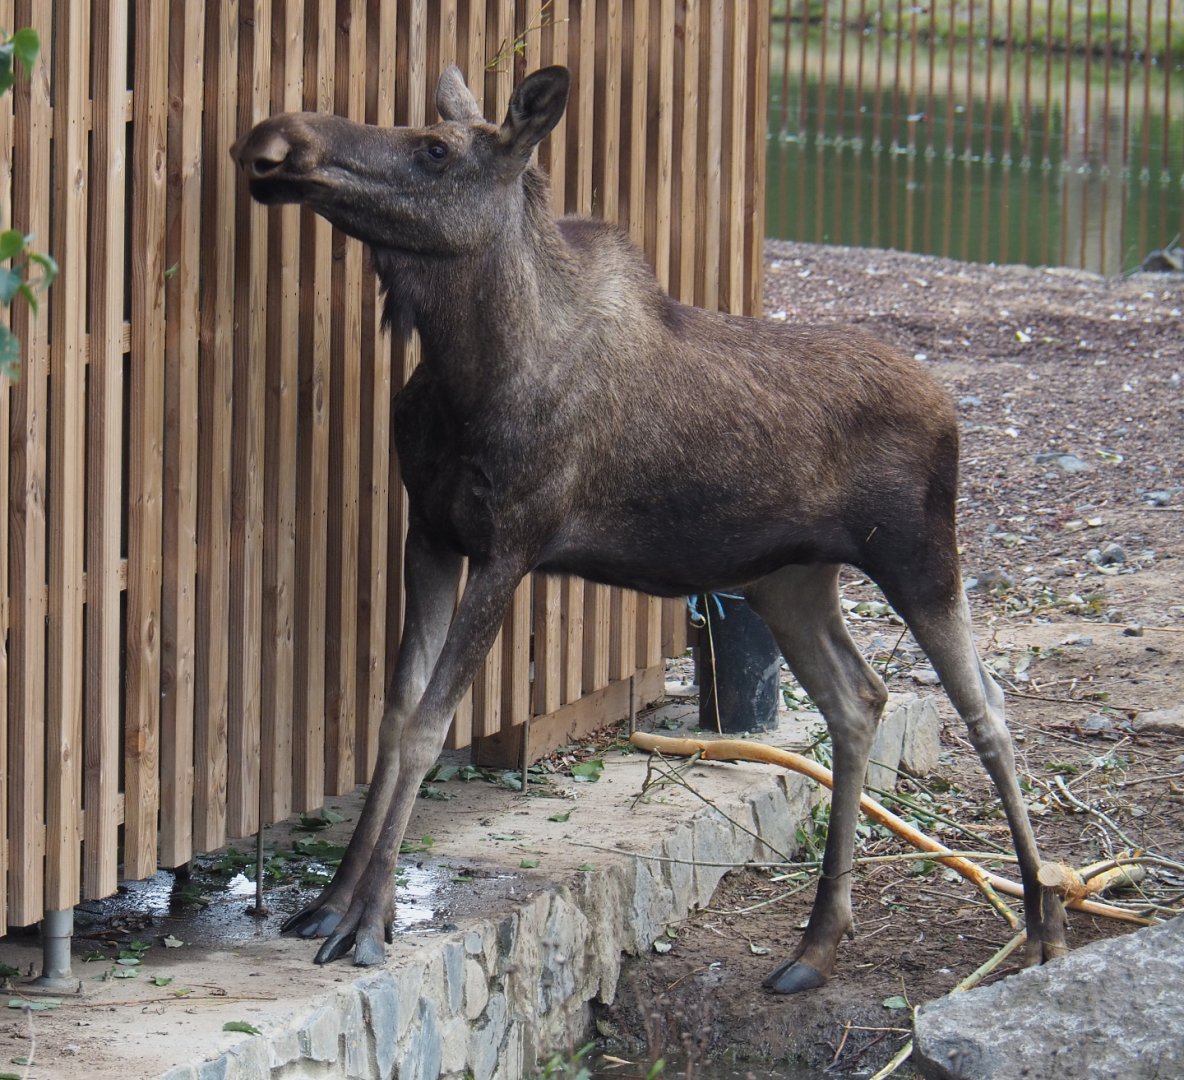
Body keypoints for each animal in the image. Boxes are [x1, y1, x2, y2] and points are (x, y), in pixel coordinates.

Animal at [231, 64, 1068, 992]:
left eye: (435, 150)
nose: (274, 136)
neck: (470, 366)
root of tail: (952, 407)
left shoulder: (512, 545)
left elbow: (426, 728)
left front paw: (370, 919)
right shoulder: (431, 530)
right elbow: (395, 711)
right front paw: (332, 901)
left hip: (921, 554)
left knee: (988, 708)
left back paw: (1042, 921)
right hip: (790, 577)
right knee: (858, 699)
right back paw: (815, 944)